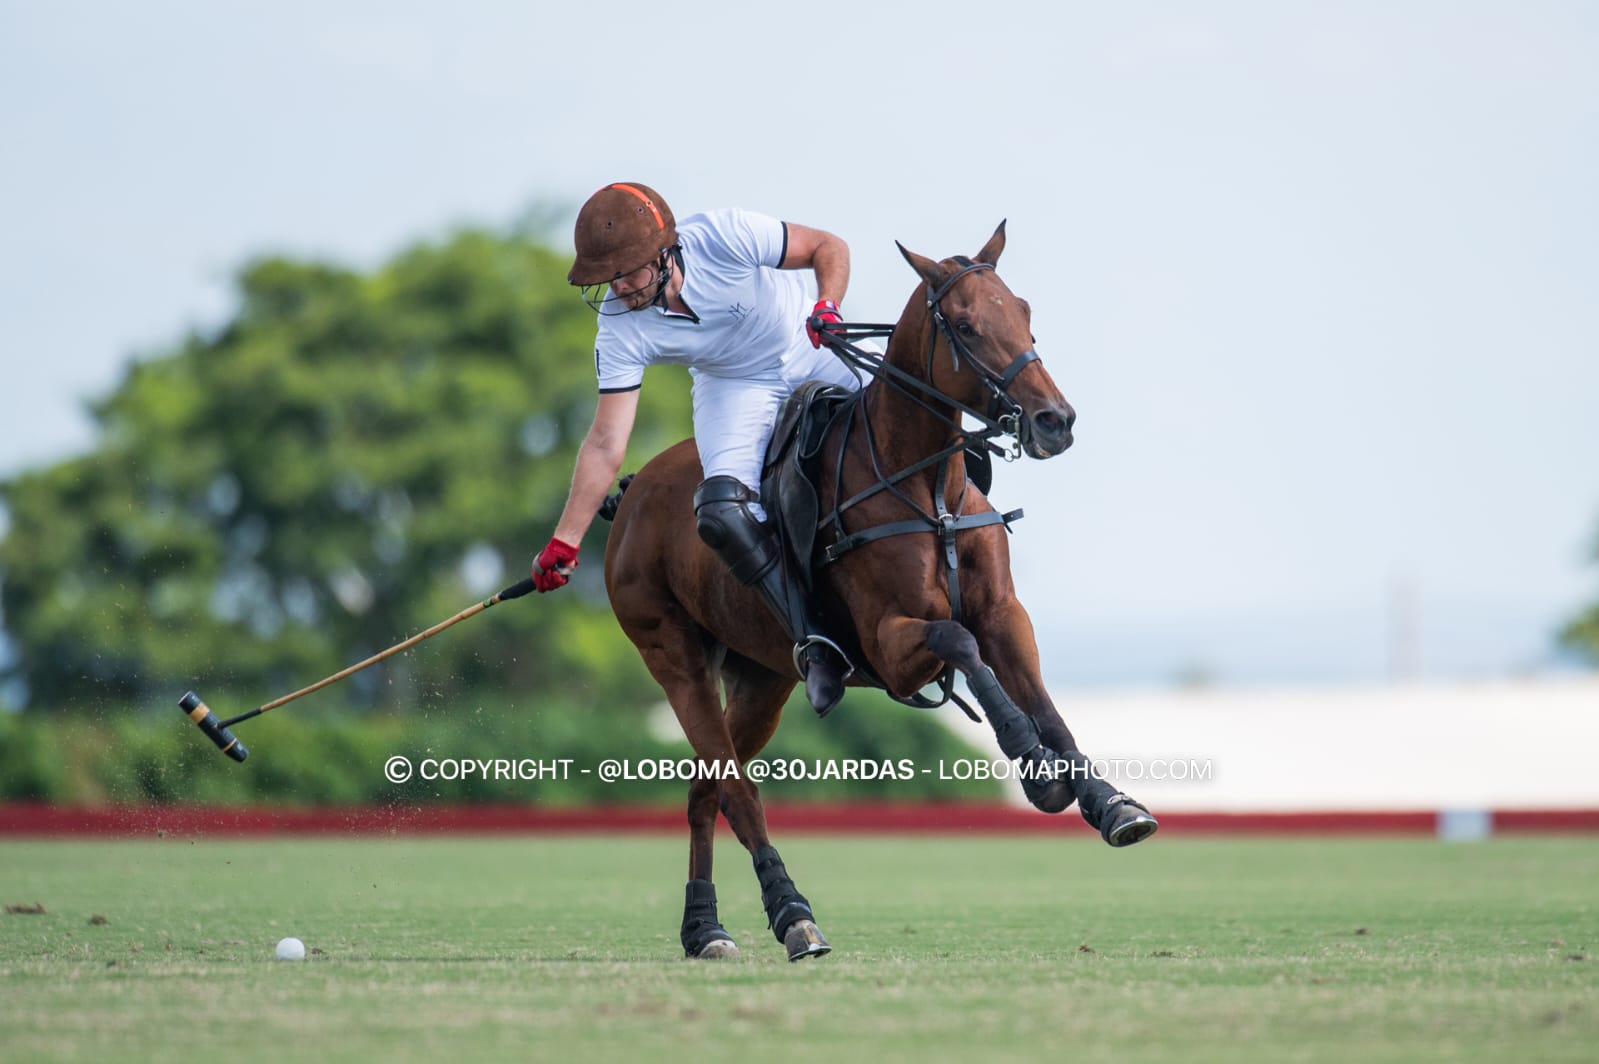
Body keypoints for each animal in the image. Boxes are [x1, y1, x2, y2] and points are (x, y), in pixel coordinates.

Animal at [598, 219, 1151, 960]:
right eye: (966, 326)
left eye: (1024, 310)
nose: (1053, 421)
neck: (929, 488)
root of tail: (630, 493)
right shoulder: (888, 649)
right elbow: (958, 639)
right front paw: (1030, 762)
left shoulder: (1005, 615)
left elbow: (1045, 702)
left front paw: (1108, 802)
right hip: (674, 660)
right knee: (737, 790)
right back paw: (792, 914)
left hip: (763, 678)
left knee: (703, 791)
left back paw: (704, 928)